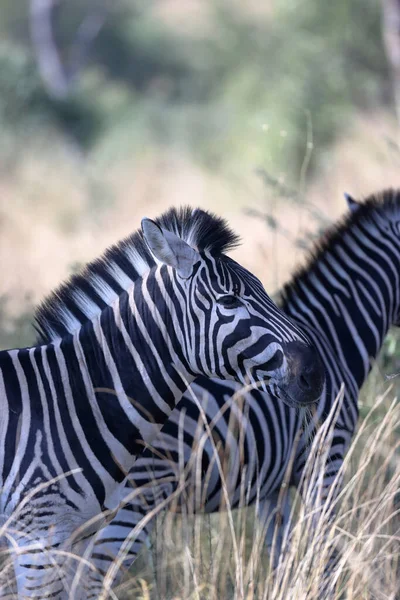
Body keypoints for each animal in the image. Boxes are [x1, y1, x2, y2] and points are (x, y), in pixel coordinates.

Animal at [32, 190, 400, 592]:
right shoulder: (326, 458)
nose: (313, 378)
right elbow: (327, 555)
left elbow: (282, 558)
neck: (334, 335)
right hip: (131, 503)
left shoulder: (273, 489)